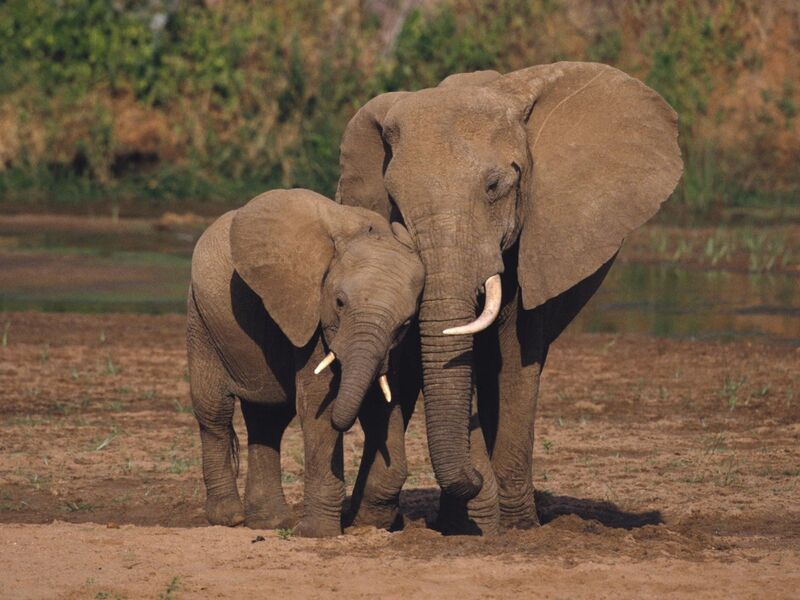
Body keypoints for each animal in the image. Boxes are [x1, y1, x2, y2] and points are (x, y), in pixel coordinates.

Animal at [187, 188, 424, 537]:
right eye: (339, 302)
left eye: (406, 323)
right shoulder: (310, 312)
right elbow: (318, 404)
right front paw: (318, 533)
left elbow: (381, 402)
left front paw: (370, 524)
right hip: (201, 319)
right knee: (214, 412)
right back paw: (231, 518)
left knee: (267, 419)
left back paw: (270, 522)